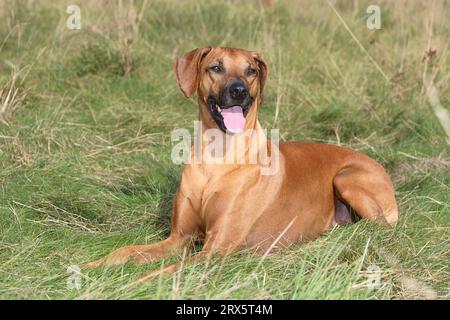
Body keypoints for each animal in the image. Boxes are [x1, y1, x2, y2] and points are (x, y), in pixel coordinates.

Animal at [86, 46, 400, 282]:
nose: (239, 91)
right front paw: (90, 267)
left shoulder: (216, 250)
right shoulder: (180, 238)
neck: (218, 155)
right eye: (215, 67)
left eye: (251, 71)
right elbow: (125, 252)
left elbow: (160, 273)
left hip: (346, 178)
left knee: (381, 229)